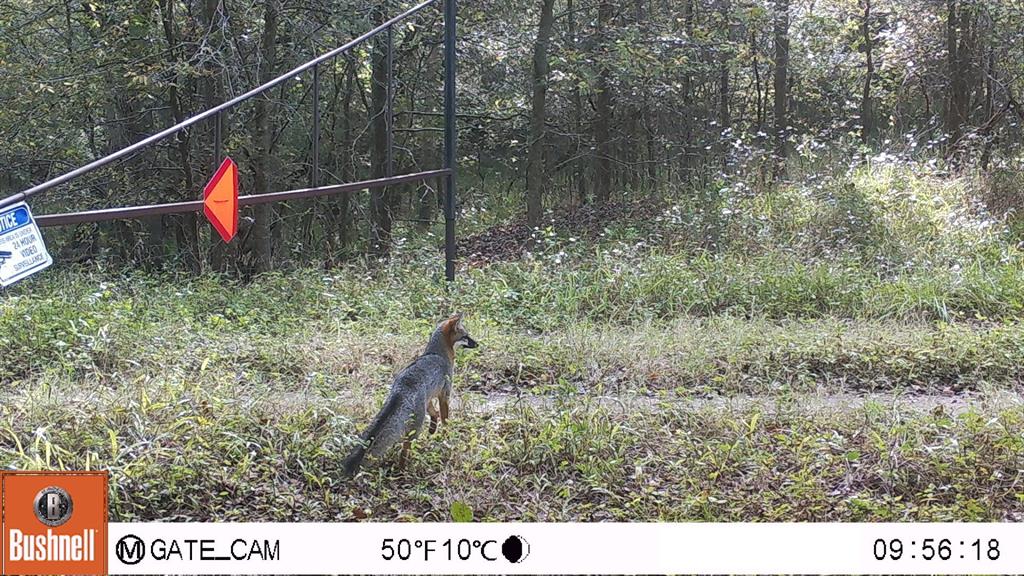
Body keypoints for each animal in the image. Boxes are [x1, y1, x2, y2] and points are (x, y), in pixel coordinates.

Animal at [339, 311, 475, 473]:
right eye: (466, 336)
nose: (477, 344)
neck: (436, 353)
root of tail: (402, 387)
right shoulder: (444, 395)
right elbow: (445, 419)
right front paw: (446, 436)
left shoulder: (428, 397)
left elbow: (434, 413)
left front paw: (432, 429)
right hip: (415, 429)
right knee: (404, 450)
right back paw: (404, 470)